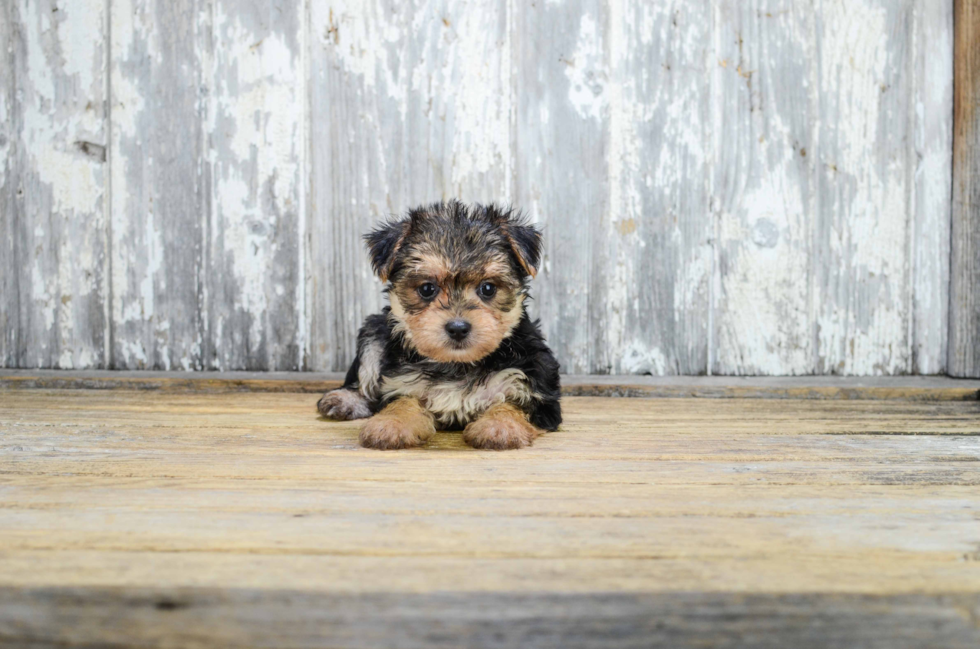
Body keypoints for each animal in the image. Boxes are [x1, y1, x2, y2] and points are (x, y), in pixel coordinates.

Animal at [320, 200, 560, 448]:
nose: (458, 328)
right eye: (427, 289)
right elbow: (401, 402)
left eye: (488, 288)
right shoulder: (400, 383)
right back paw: (344, 400)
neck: (456, 364)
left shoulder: (532, 385)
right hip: (374, 331)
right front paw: (390, 425)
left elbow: (514, 404)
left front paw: (499, 427)